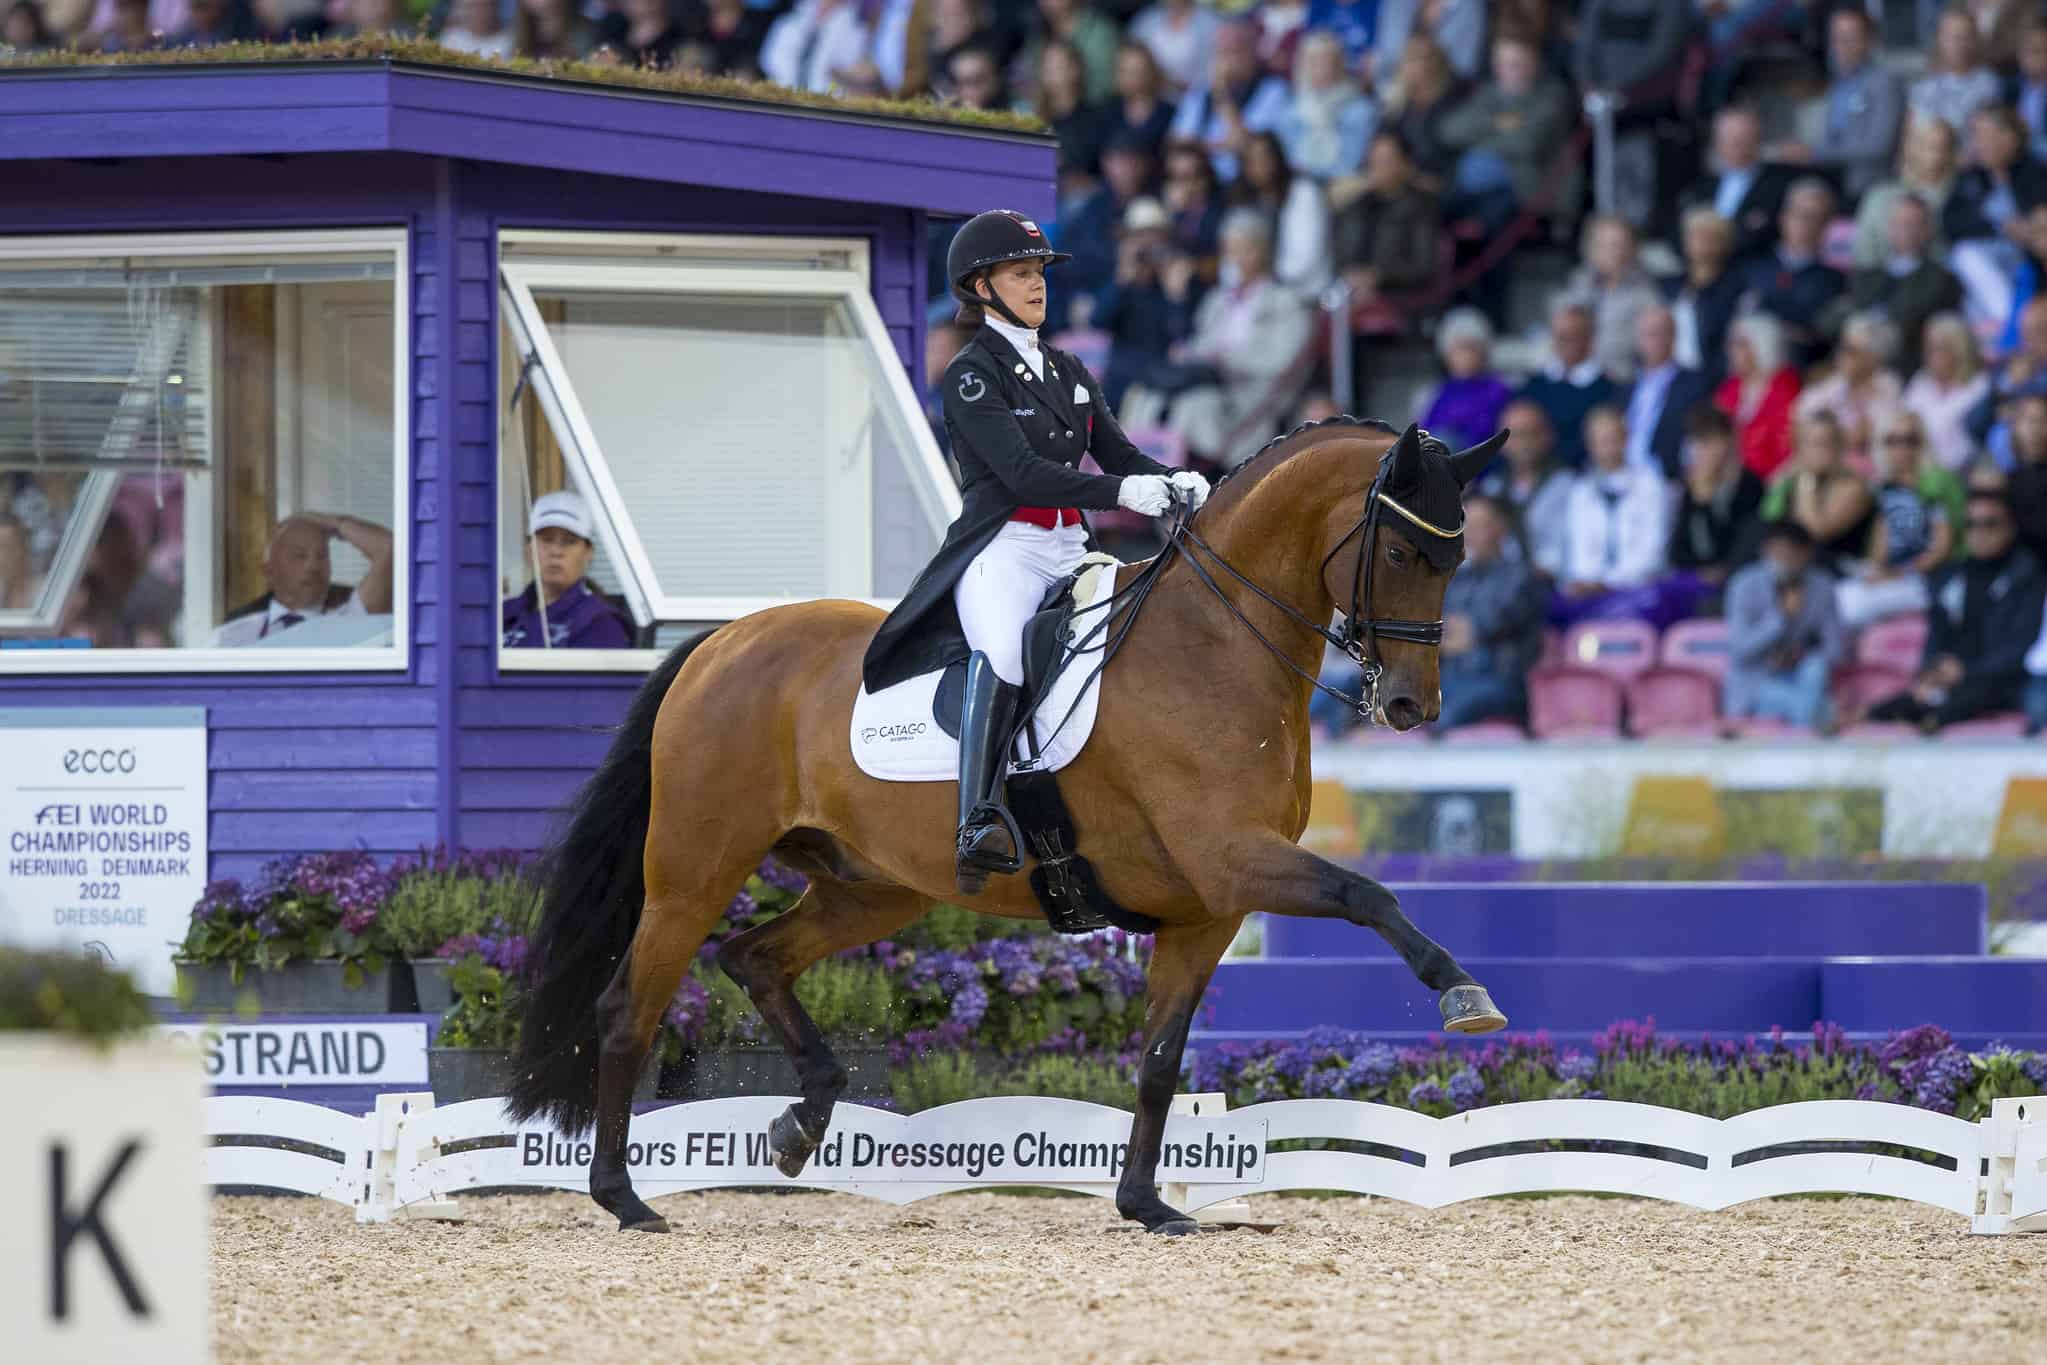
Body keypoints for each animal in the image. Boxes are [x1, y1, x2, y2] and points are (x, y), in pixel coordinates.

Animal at [507, 419, 1506, 1236]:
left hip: (872, 889)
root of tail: (720, 641)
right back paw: (624, 1197)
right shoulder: (1232, 861)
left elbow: (1158, 1059)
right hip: (694, 869)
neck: (1216, 646)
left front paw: (1146, 1206)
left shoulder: (1206, 908)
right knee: (628, 1007)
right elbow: (1366, 892)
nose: (1411, 706)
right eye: (1406, 553)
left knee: (753, 958)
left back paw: (800, 1124)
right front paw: (1463, 994)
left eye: (1456, 561)